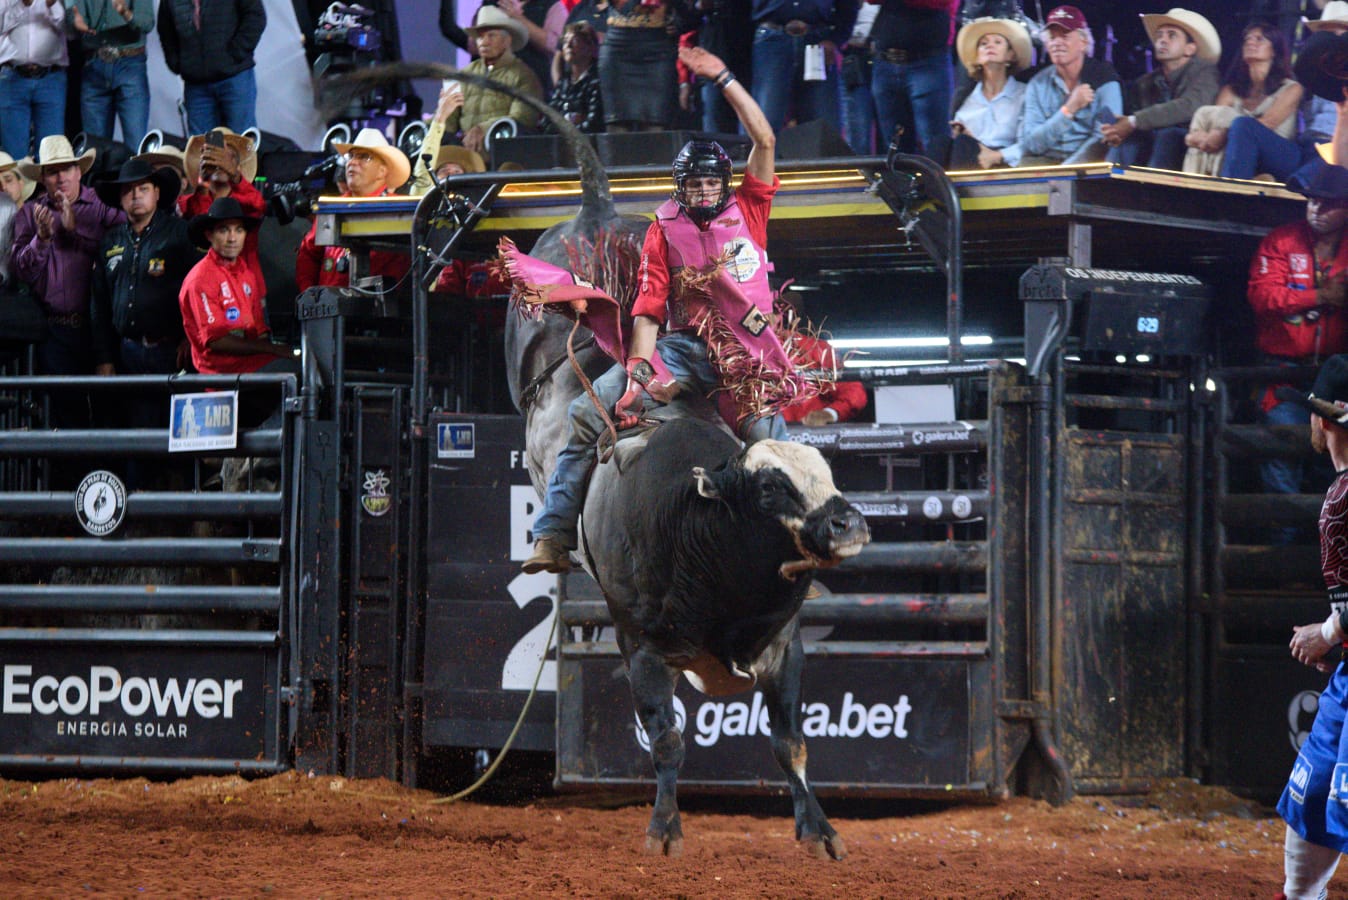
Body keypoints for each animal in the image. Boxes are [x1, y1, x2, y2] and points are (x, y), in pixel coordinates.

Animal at [328, 63, 873, 856]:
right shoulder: (640, 644)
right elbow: (667, 740)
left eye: (825, 477)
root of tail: (591, 211)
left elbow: (789, 741)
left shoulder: (783, 646)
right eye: (771, 488)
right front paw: (664, 830)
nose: (846, 525)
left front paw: (819, 829)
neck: (700, 522)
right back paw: (552, 528)